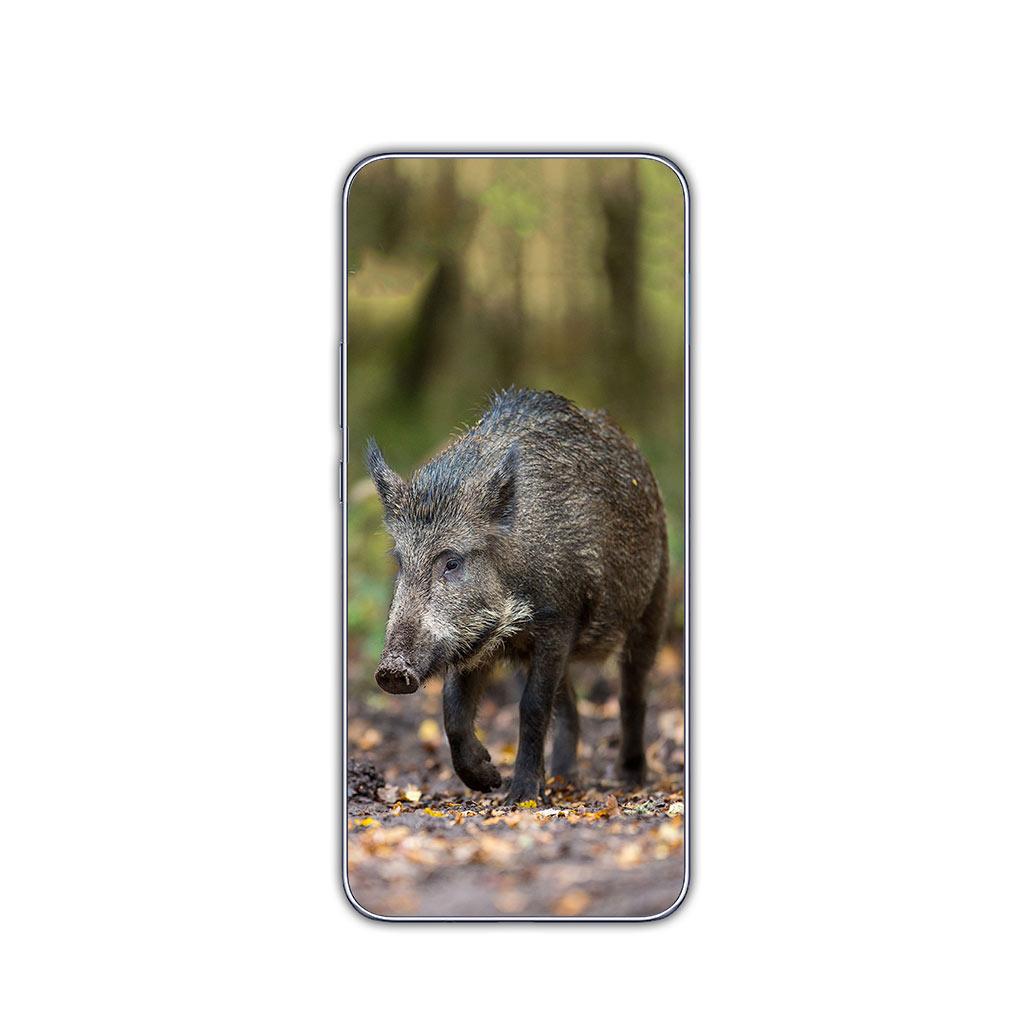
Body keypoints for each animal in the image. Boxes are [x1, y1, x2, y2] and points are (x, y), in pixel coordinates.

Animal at [365, 387, 669, 804]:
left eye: (452, 562)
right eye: (399, 560)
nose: (392, 671)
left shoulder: (558, 619)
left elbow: (532, 706)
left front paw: (521, 798)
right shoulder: (471, 641)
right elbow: (453, 709)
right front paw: (489, 780)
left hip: (654, 602)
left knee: (633, 689)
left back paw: (629, 779)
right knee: (570, 701)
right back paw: (565, 779)